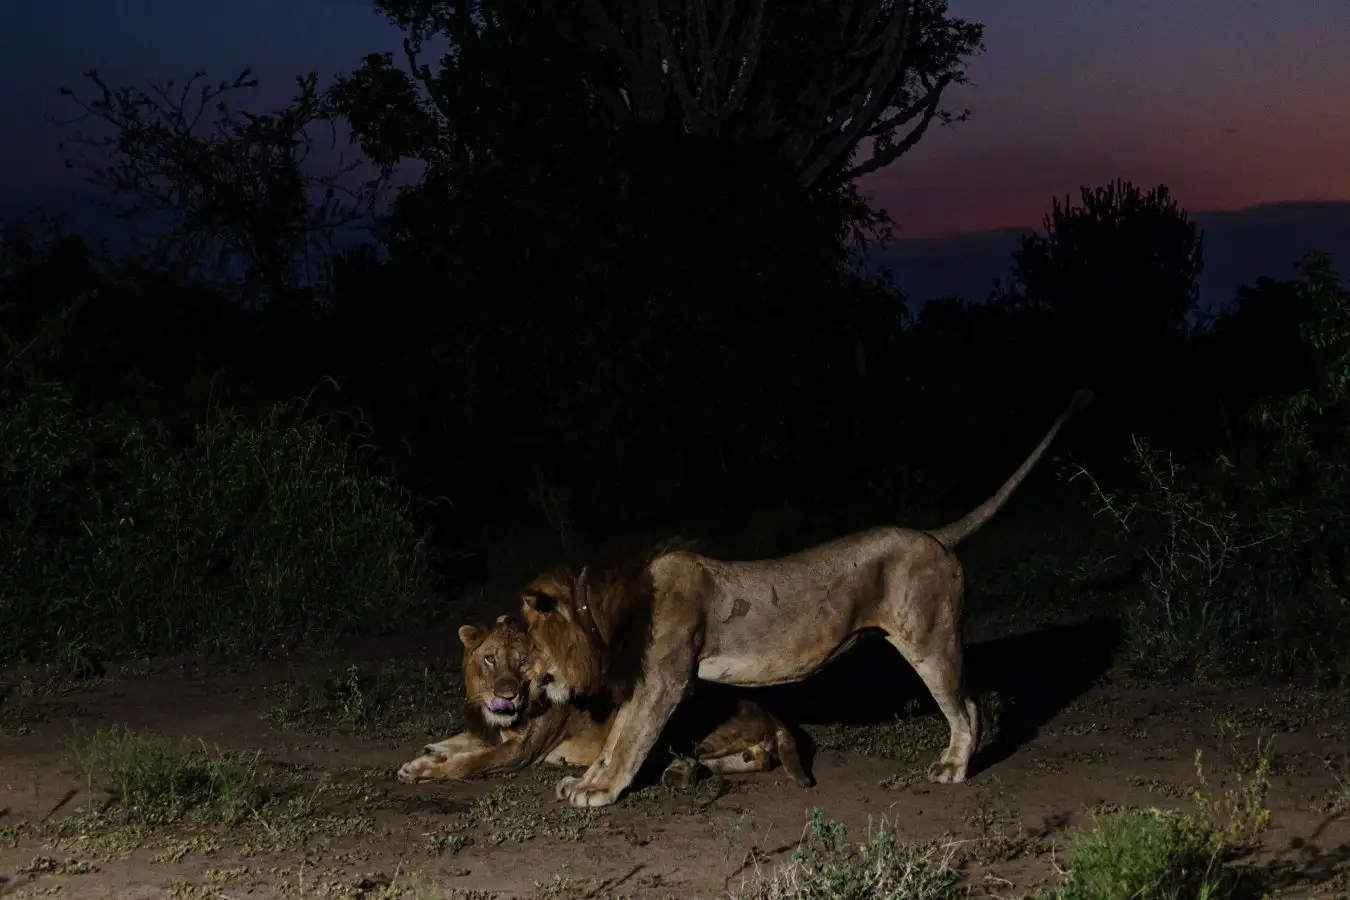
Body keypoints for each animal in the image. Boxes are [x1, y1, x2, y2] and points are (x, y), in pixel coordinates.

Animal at [396, 613, 812, 789]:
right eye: (490, 659)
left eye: (522, 662)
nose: (506, 693)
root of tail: (768, 713)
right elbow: (459, 741)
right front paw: (427, 754)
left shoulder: (520, 752)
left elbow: (469, 763)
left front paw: (424, 770)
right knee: (748, 760)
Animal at [521, 389, 1093, 807]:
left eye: (526, 640)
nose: (520, 682)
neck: (601, 609)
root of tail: (934, 536)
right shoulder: (645, 678)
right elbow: (615, 736)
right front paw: (585, 780)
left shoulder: (664, 679)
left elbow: (631, 738)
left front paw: (601, 790)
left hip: (931, 640)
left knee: (966, 704)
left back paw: (954, 766)